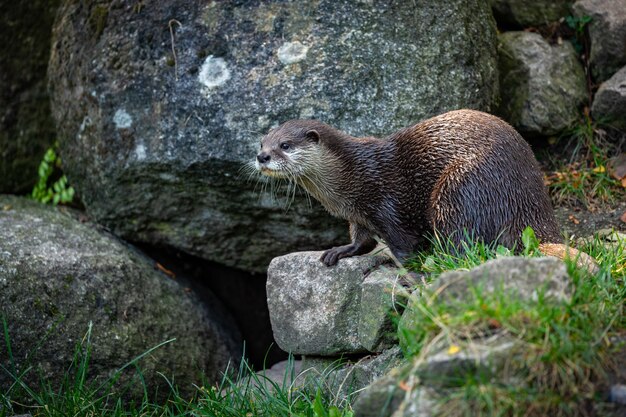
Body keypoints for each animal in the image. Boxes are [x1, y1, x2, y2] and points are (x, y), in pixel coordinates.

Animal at [255, 108, 596, 270]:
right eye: (261, 142)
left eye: (285, 145)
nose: (262, 156)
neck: (350, 177)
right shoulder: (358, 214)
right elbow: (362, 241)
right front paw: (340, 251)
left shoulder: (384, 202)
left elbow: (403, 245)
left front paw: (406, 270)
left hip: (462, 187)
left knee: (464, 249)